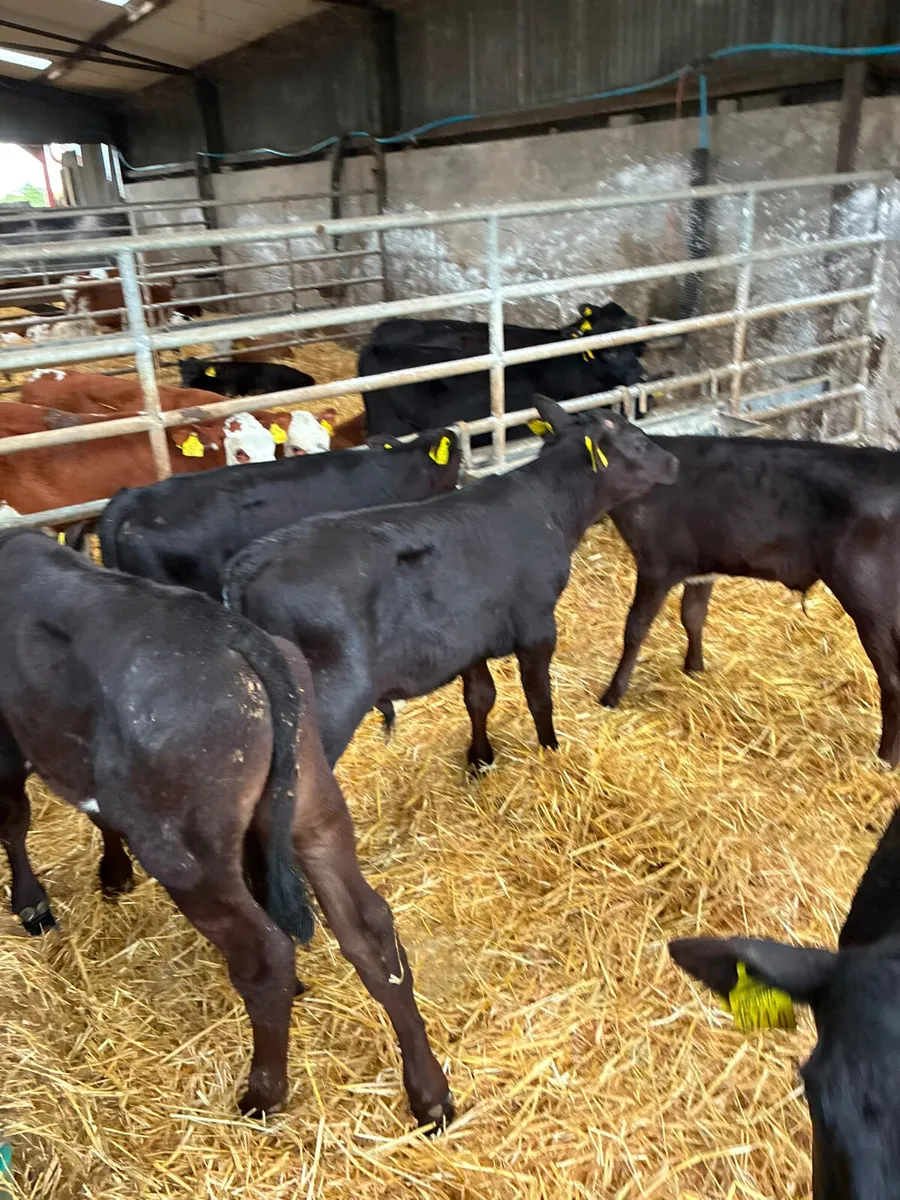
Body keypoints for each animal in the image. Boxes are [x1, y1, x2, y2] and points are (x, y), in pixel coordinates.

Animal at [0, 529, 453, 1129]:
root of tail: (238, 638)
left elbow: (12, 819)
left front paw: (31, 902)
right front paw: (113, 873)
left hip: (187, 858)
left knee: (267, 956)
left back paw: (263, 1094)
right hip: (315, 814)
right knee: (370, 928)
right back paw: (430, 1094)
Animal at [222, 398, 678, 768]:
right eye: (639, 443)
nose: (673, 460)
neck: (548, 505)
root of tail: (250, 561)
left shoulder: (469, 634)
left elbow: (479, 697)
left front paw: (480, 759)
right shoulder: (537, 625)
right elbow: (539, 696)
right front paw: (550, 749)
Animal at [599, 436, 900, 767]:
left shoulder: (656, 565)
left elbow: (635, 628)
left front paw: (612, 694)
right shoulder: (701, 567)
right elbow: (693, 615)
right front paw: (694, 669)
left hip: (869, 601)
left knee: (892, 679)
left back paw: (886, 757)